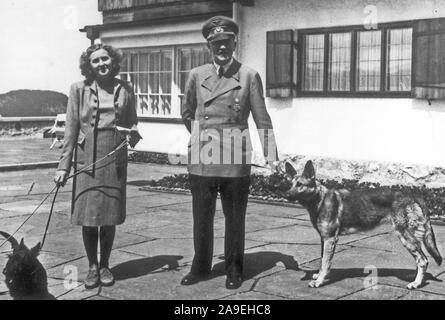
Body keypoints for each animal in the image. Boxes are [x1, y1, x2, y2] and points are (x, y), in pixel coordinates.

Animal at [282, 161, 442, 288]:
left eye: (300, 185)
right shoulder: (324, 239)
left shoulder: (330, 239)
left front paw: (320, 281)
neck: (319, 200)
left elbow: (326, 262)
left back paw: (416, 283)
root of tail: (412, 195)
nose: (286, 195)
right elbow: (322, 260)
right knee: (420, 260)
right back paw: (416, 278)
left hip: (405, 236)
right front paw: (319, 275)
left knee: (423, 260)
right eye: (290, 185)